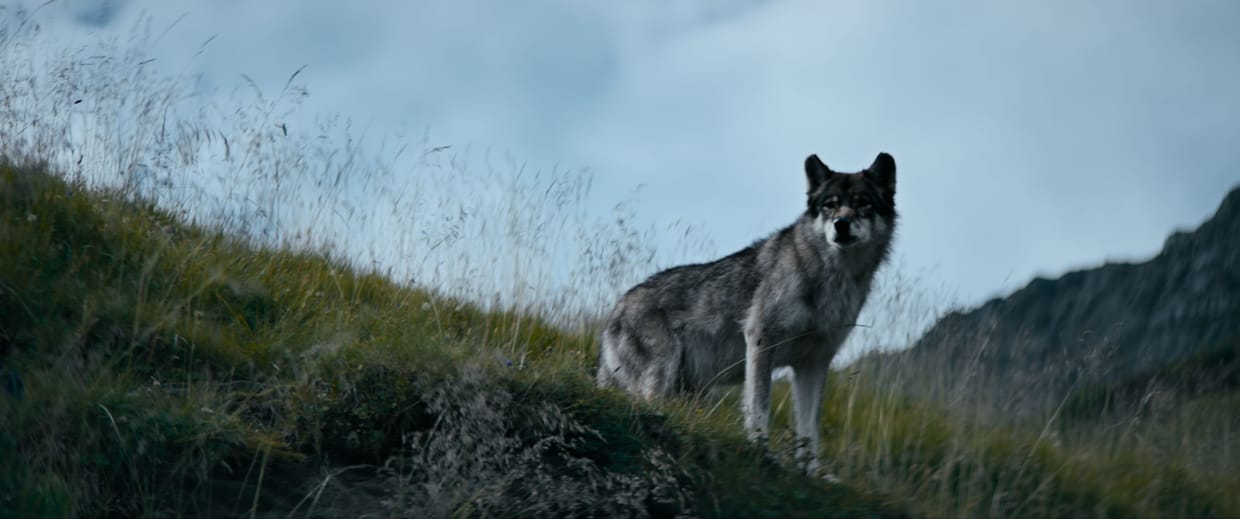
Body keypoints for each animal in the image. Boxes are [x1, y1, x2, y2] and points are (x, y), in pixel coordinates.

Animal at [597, 152, 896, 471]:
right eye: (830, 204)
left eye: (863, 203)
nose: (841, 224)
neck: (832, 277)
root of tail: (615, 312)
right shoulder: (761, 340)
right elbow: (758, 406)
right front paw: (761, 452)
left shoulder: (814, 363)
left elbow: (809, 430)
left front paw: (810, 472)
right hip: (662, 375)